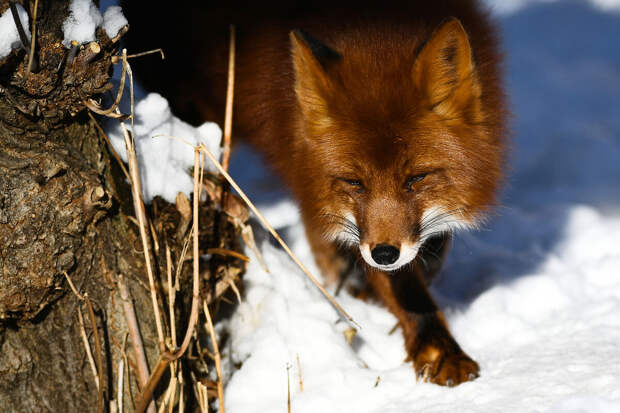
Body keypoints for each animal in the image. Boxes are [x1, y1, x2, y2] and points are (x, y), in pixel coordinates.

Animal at [123, 0, 506, 386]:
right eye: (354, 182)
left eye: (416, 178)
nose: (384, 254)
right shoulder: (317, 188)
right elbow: (403, 286)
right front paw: (437, 349)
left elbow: (429, 251)